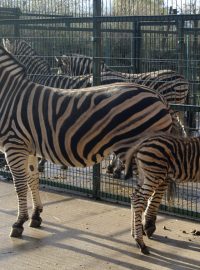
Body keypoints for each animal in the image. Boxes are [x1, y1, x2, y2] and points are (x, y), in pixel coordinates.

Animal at [0, 44, 181, 240]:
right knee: (160, 183)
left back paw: (147, 224)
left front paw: (19, 223)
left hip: (142, 150)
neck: (8, 95)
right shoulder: (29, 148)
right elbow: (32, 180)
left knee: (158, 184)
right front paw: (36, 215)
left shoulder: (14, 145)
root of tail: (159, 97)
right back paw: (149, 222)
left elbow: (19, 185)